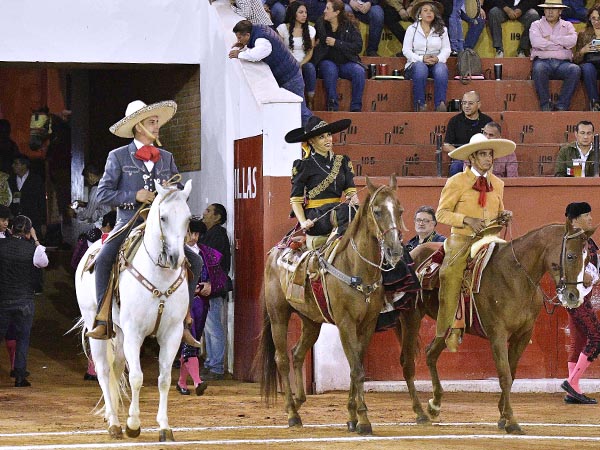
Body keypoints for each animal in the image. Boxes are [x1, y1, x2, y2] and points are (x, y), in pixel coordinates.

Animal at [74, 180, 193, 442]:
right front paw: (133, 424)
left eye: (188, 218)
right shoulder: (134, 333)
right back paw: (114, 423)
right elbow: (137, 378)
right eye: (163, 217)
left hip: (119, 332)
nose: (175, 258)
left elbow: (164, 379)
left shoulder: (172, 334)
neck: (159, 277)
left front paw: (164, 427)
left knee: (117, 367)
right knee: (104, 370)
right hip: (97, 327)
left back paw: (114, 417)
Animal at [255, 175, 406, 432]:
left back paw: (299, 401)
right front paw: (363, 420)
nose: (395, 250)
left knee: (297, 353)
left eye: (400, 210)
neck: (356, 267)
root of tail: (276, 250)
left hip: (310, 320)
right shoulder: (346, 323)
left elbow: (357, 367)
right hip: (278, 315)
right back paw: (291, 413)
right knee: (282, 359)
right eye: (377, 211)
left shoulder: (367, 325)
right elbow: (357, 370)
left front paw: (352, 416)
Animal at [394, 221, 592, 432]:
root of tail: (413, 254)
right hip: (411, 317)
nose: (574, 296)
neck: (516, 276)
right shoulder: (497, 334)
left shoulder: (523, 335)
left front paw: (503, 415)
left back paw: (435, 405)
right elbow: (504, 375)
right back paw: (420, 412)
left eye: (588, 258)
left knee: (430, 353)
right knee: (407, 363)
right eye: (570, 255)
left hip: (445, 324)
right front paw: (511, 420)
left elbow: (512, 374)